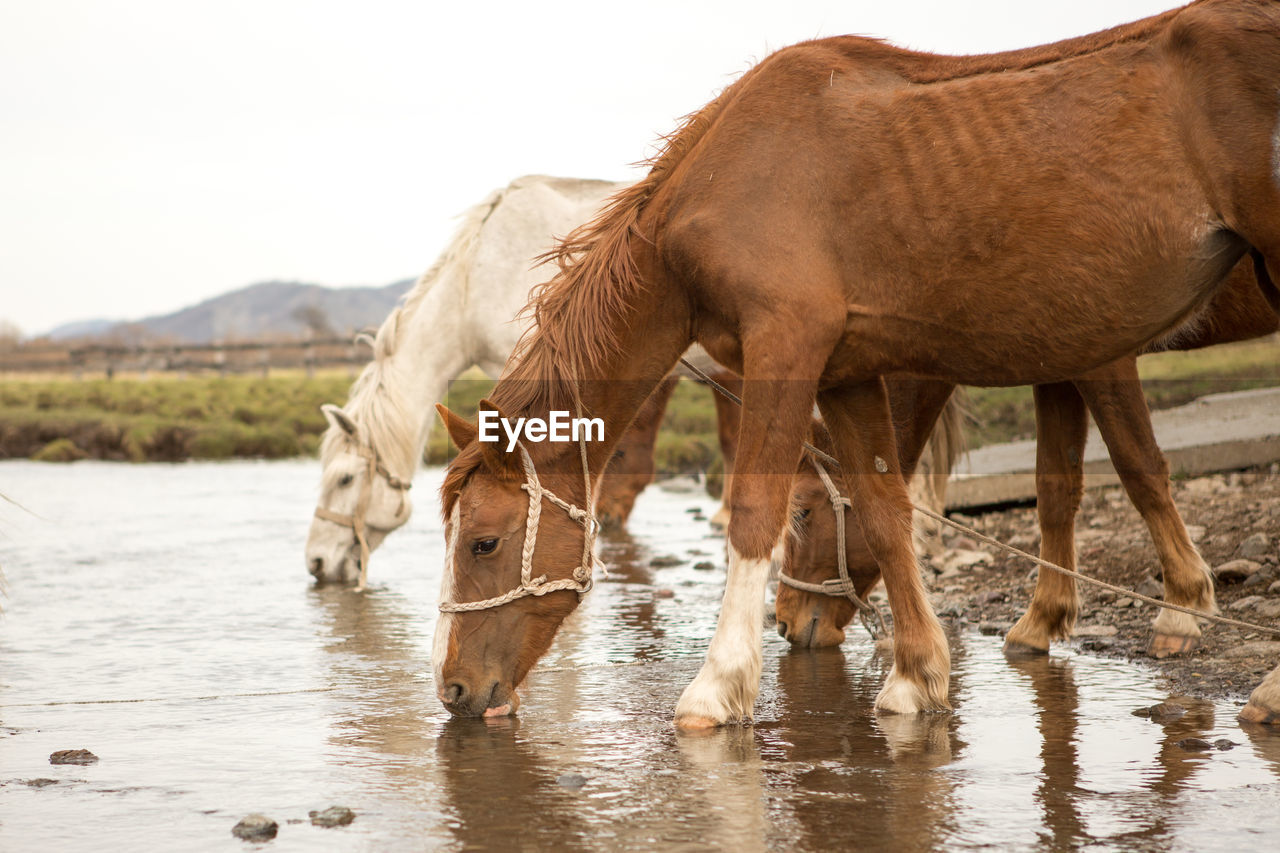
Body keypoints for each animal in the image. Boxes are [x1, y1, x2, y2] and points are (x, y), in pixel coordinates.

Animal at [773, 256, 1274, 653]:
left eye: (801, 513)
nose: (781, 622)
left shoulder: (1105, 359)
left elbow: (1139, 468)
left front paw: (1181, 608)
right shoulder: (1055, 366)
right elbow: (1054, 488)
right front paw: (1042, 619)